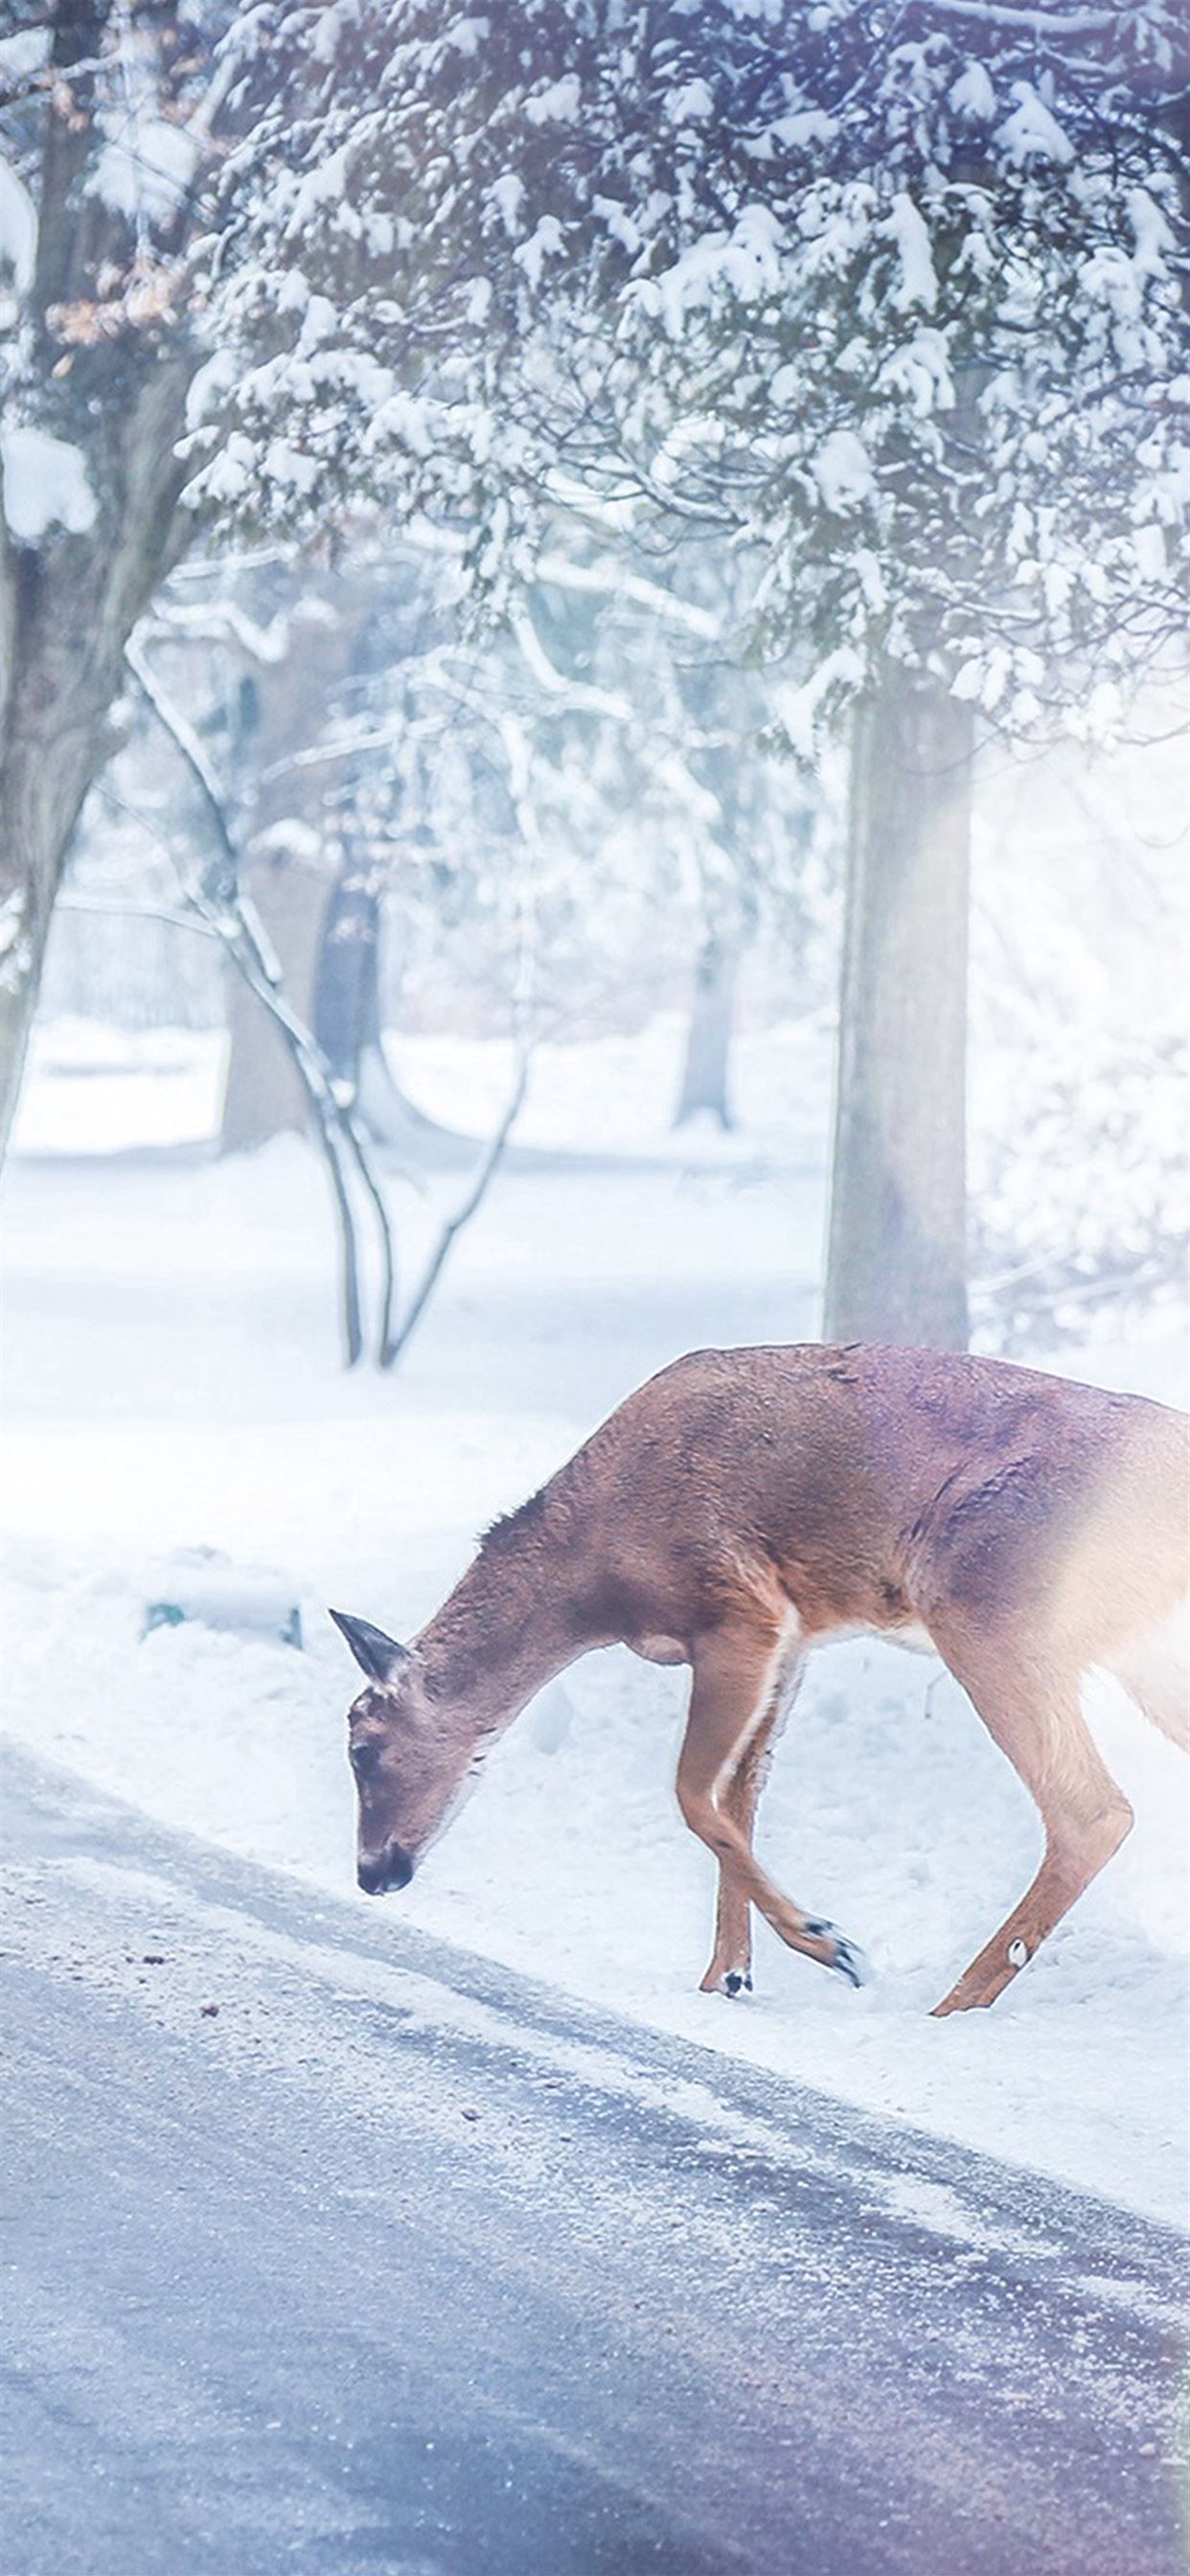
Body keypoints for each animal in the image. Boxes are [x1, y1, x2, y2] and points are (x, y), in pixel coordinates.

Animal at [331, 1343, 1189, 2015]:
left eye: (363, 1748)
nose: (372, 1874)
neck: (594, 1576)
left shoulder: (740, 1611)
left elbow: (692, 1794)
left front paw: (830, 1943)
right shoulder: (795, 1639)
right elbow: (739, 1799)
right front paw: (728, 1975)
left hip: (990, 1603)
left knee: (1092, 1811)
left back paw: (950, 2004)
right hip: (1135, 1649)